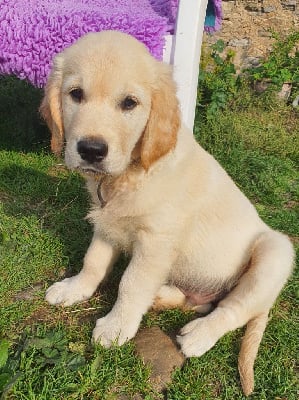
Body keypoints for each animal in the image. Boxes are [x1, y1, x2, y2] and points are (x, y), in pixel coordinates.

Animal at [40, 30, 296, 394]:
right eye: (75, 94)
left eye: (129, 103)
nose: (91, 150)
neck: (130, 173)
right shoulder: (107, 225)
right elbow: (93, 262)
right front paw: (75, 288)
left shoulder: (156, 242)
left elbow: (131, 283)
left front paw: (116, 326)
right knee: (203, 301)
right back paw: (162, 296)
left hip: (275, 252)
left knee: (233, 308)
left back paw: (199, 335)